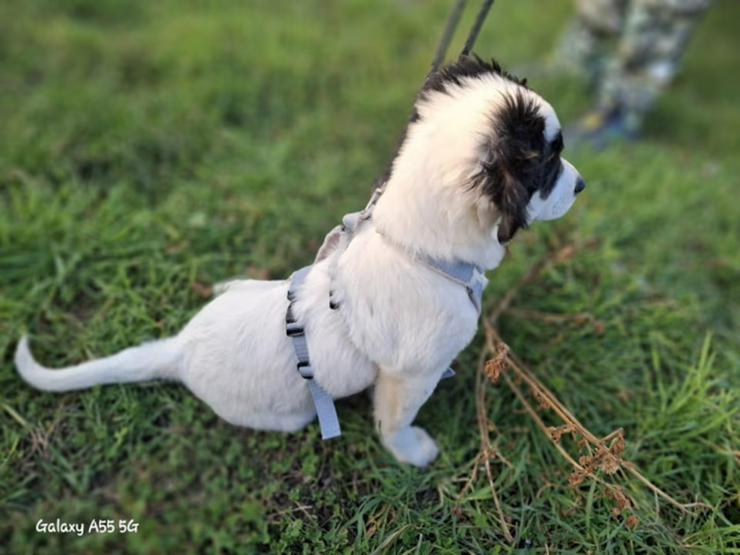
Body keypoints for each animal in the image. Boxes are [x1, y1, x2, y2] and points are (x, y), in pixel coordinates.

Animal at [14, 56, 584, 466]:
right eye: (549, 164)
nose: (580, 185)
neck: (418, 249)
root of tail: (178, 349)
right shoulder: (408, 376)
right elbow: (395, 422)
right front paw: (411, 453)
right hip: (285, 415)